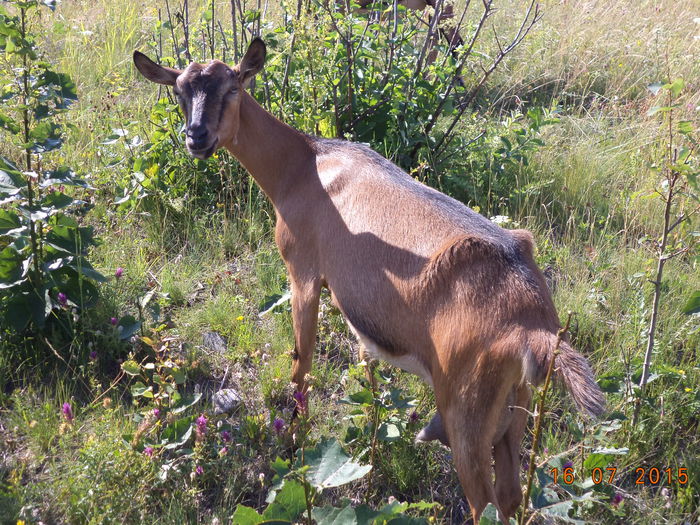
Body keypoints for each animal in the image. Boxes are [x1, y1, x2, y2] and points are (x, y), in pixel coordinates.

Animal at [134, 39, 604, 520]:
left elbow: (301, 362)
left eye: (232, 87)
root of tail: (534, 326)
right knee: (510, 498)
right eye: (179, 90)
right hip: (515, 410)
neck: (301, 165)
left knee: (484, 505)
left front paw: (293, 442)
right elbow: (365, 365)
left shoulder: (304, 271)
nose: (197, 137)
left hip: (465, 413)